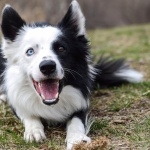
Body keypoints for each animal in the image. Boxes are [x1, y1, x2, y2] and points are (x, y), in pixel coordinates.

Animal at [0, 0, 143, 149]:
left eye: (61, 48)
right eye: (30, 51)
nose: (47, 67)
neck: (51, 104)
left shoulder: (81, 103)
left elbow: (76, 121)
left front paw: (76, 138)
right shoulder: (18, 101)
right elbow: (28, 114)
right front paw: (33, 131)